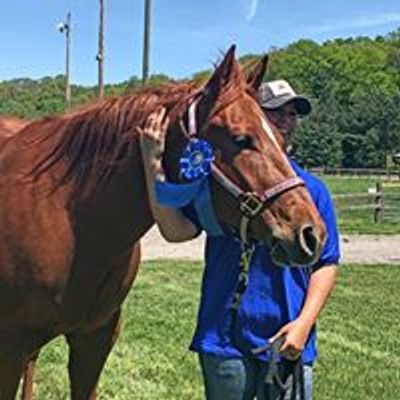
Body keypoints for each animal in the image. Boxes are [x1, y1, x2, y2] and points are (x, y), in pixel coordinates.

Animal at [0, 46, 324, 396]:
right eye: (241, 139)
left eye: (278, 136)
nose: (311, 233)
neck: (68, 217)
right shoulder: (11, 347)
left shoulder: (94, 339)